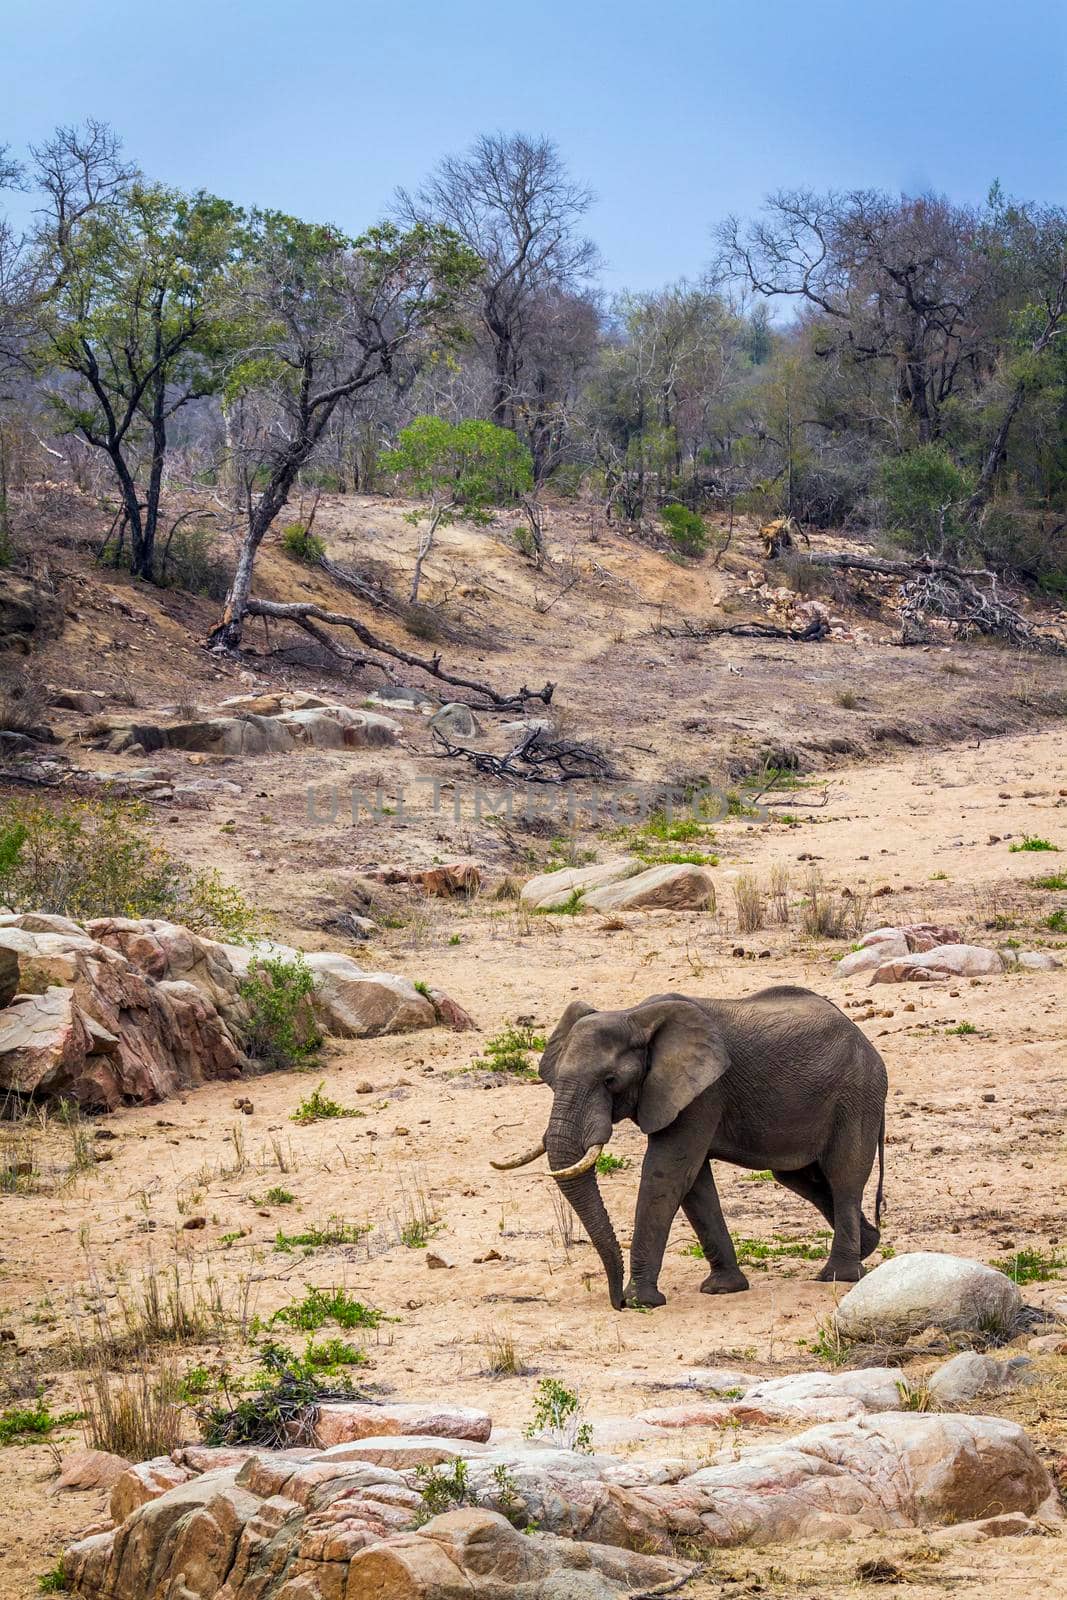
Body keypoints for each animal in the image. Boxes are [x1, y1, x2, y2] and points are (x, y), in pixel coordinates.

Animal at [495, 985, 895, 1312]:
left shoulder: (703, 1092)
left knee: (843, 1177)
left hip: (857, 1095)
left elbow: (667, 1172)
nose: (616, 1302)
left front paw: (642, 1301)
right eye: (554, 1079)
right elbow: (693, 1182)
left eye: (610, 1081)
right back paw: (868, 1247)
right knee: (801, 1178)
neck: (635, 1016)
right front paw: (723, 1289)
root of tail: (868, 1044)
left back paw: (838, 1275)